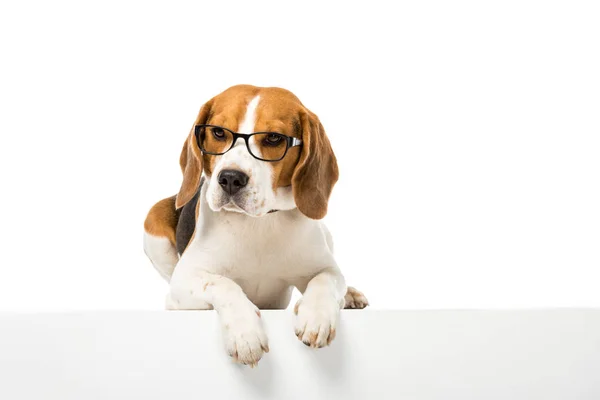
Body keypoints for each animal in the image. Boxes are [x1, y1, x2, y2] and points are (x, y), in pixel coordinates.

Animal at [143, 84, 368, 366]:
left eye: (273, 138)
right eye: (219, 132)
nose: (230, 178)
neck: (259, 223)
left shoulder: (327, 268)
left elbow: (324, 281)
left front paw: (316, 317)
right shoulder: (185, 277)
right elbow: (223, 284)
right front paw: (245, 334)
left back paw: (350, 295)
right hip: (153, 223)